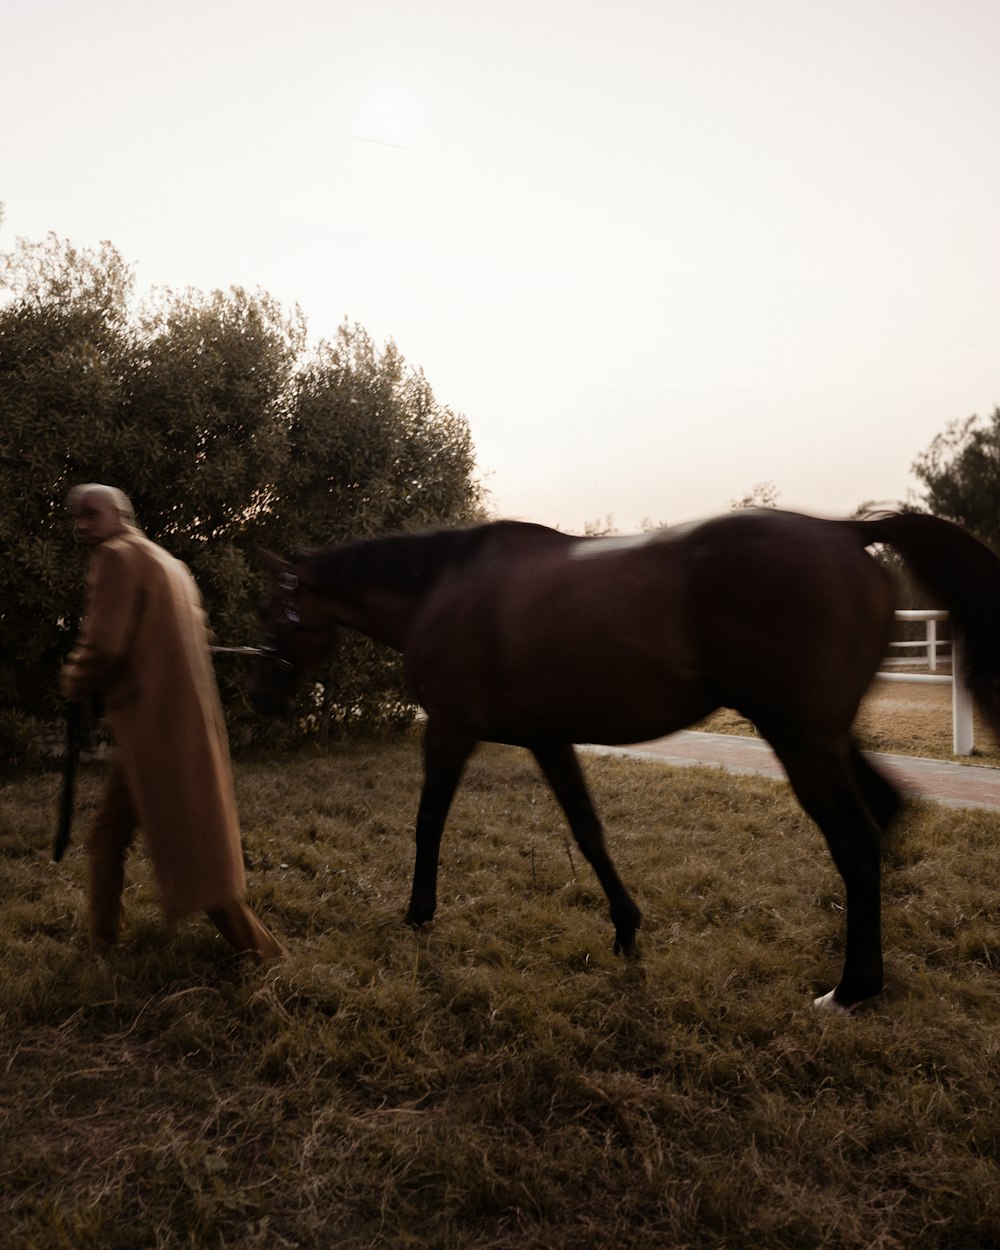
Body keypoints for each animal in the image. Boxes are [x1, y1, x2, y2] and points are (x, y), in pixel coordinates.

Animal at [247, 507, 1000, 1005]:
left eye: (270, 611)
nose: (261, 696)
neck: (443, 589)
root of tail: (843, 531)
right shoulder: (548, 738)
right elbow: (587, 829)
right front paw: (626, 928)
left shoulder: (451, 729)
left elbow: (429, 821)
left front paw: (418, 913)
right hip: (823, 737)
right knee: (885, 815)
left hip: (800, 741)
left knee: (856, 839)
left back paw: (850, 989)